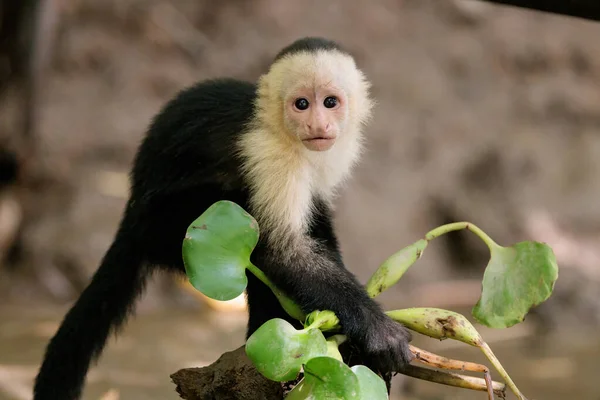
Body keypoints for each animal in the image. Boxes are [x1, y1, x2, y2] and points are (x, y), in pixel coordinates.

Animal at [34, 36, 412, 398]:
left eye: (330, 102)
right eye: (302, 104)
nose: (317, 123)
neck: (281, 131)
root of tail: (130, 212)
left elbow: (314, 219)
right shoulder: (270, 154)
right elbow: (282, 251)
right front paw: (377, 330)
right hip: (170, 227)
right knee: (248, 234)